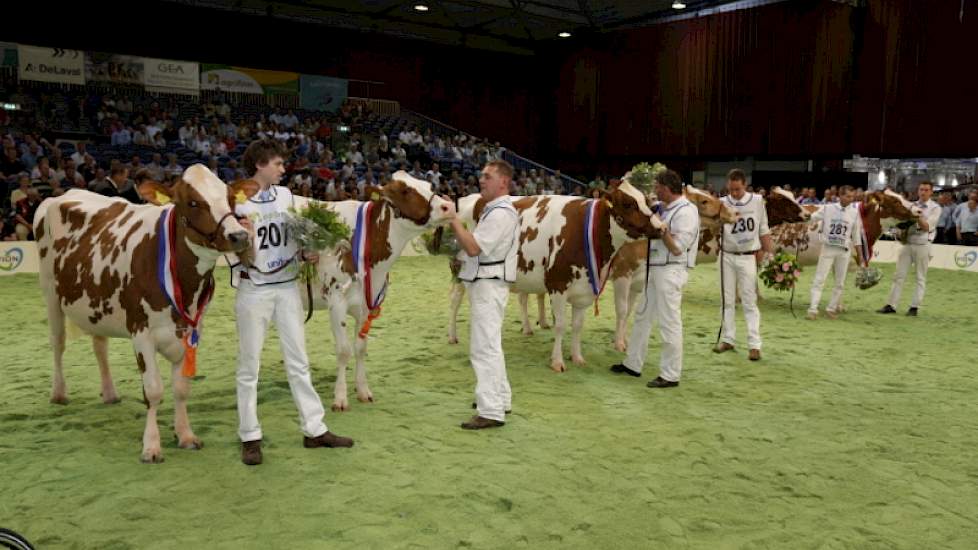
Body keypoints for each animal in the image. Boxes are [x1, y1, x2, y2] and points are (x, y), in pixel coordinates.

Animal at [34, 165, 258, 466]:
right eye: (193, 202)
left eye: (230, 198)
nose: (239, 236)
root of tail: (61, 194)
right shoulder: (141, 332)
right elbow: (153, 390)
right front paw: (151, 446)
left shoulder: (192, 330)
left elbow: (181, 388)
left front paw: (185, 435)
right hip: (50, 293)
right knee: (57, 343)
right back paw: (58, 393)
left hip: (95, 303)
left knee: (99, 346)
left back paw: (109, 393)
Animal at [298, 170, 454, 412]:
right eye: (405, 191)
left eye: (429, 185)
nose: (448, 206)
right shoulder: (336, 301)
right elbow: (344, 350)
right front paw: (340, 398)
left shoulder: (367, 304)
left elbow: (361, 347)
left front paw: (363, 391)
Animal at [444, 185, 664, 376]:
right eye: (628, 204)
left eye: (646, 201)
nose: (661, 227)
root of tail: (472, 198)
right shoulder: (559, 284)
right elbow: (561, 325)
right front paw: (557, 362)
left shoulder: (585, 289)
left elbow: (578, 325)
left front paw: (577, 357)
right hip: (463, 270)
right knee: (455, 300)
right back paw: (453, 336)